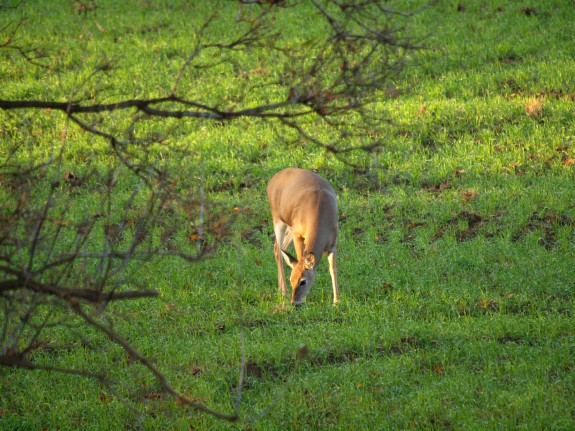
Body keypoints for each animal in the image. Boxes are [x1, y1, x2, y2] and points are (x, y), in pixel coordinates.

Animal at [268, 169, 340, 308]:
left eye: (303, 281)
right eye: (291, 279)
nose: (295, 303)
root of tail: (272, 180)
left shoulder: (333, 243)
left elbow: (333, 270)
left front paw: (336, 302)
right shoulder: (298, 235)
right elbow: (300, 257)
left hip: (290, 226)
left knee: (279, 249)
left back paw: (280, 290)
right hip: (278, 219)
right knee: (278, 249)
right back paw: (284, 293)